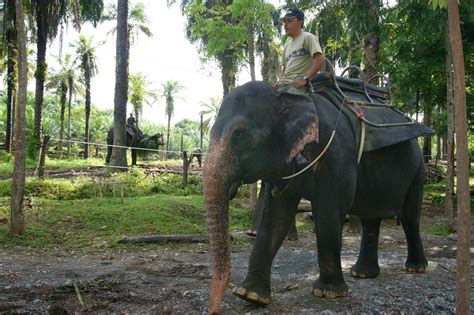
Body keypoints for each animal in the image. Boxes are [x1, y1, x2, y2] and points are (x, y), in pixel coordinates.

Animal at [203, 79, 434, 314]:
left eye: (240, 135)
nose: (214, 310)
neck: (288, 98)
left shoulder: (336, 154)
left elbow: (327, 214)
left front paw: (328, 292)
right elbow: (276, 217)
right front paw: (250, 295)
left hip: (418, 171)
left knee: (409, 217)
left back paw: (415, 268)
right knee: (370, 218)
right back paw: (362, 273)